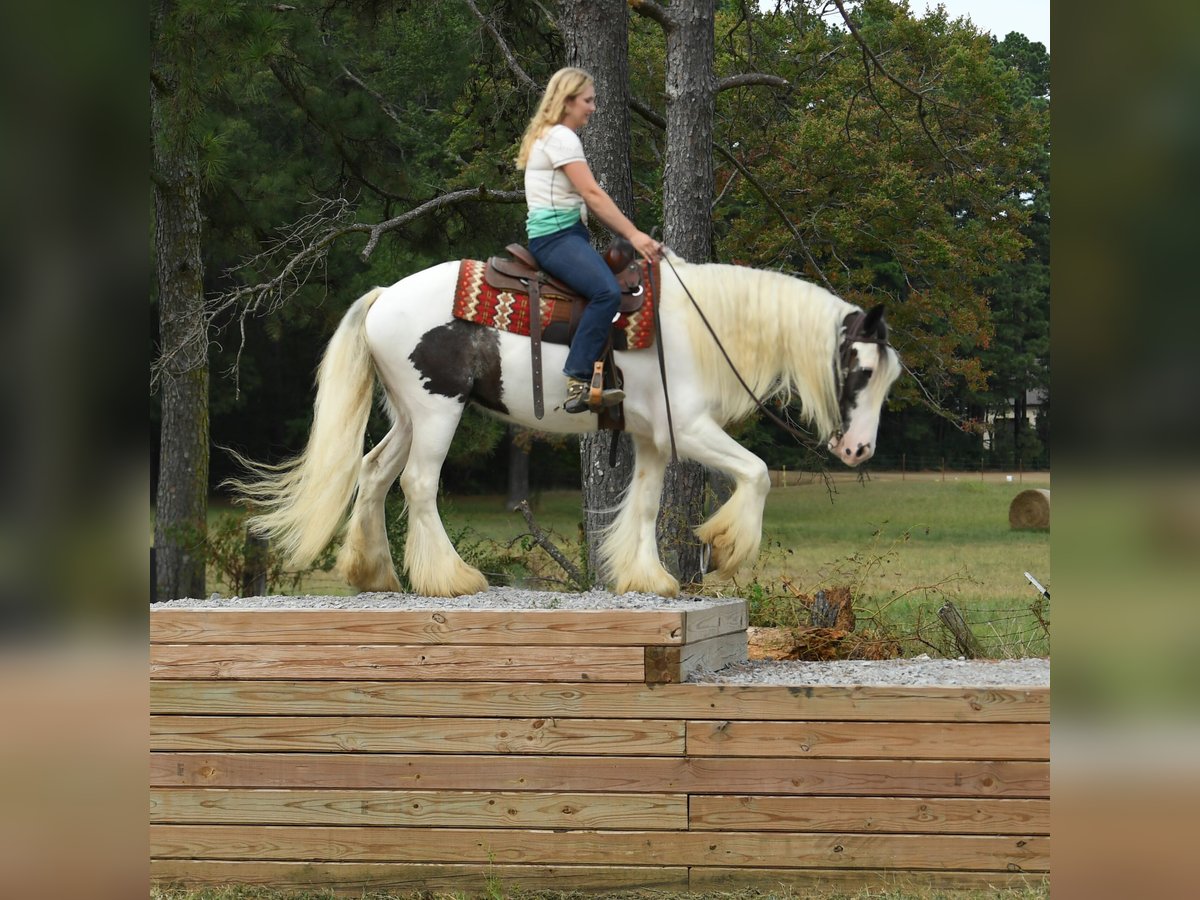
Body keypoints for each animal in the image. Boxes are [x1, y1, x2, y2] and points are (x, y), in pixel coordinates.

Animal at [229, 254, 902, 600]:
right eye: (864, 370)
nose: (859, 449)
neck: (697, 325)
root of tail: (383, 295)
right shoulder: (690, 429)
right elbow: (758, 474)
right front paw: (726, 547)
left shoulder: (655, 438)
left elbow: (646, 505)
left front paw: (646, 577)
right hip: (437, 411)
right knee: (418, 485)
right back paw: (450, 578)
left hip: (407, 415)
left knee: (371, 475)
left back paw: (376, 574)